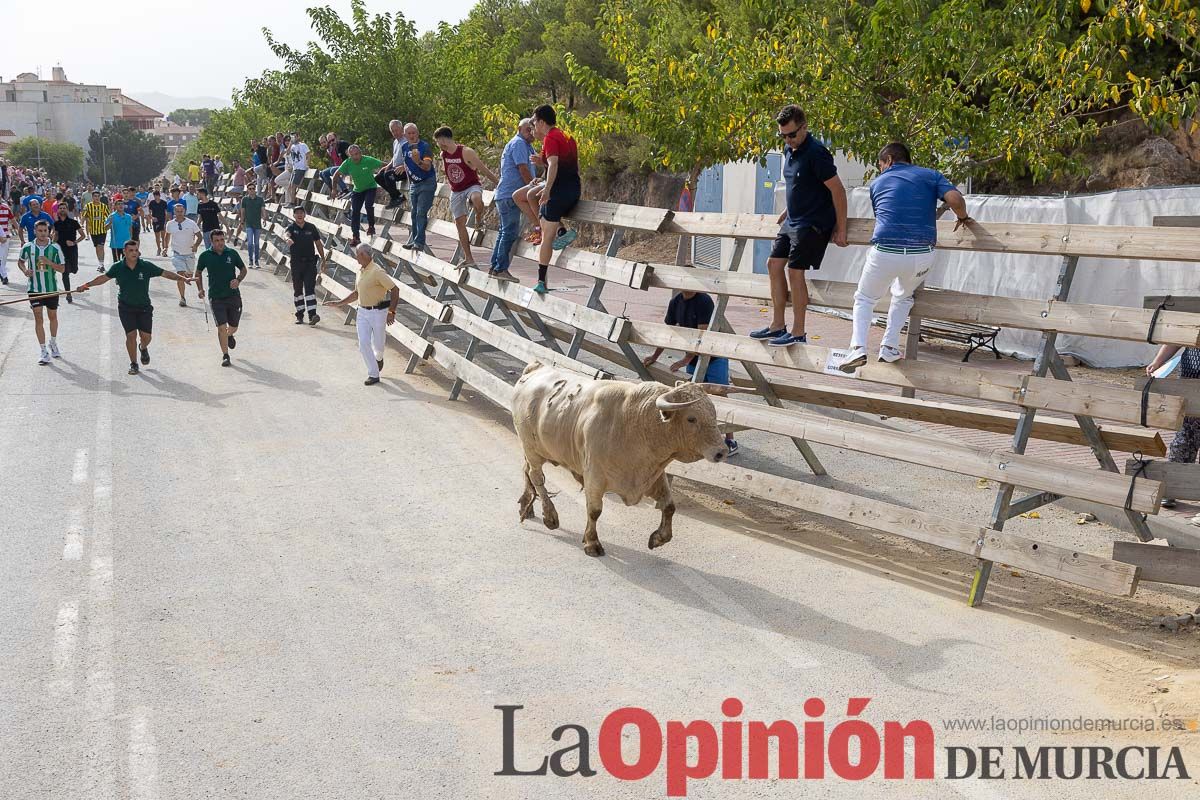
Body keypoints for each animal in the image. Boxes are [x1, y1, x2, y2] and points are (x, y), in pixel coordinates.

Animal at [511, 362, 724, 556]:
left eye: (714, 414)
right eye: (691, 418)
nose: (721, 451)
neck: (637, 422)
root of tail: (536, 368)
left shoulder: (655, 476)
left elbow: (670, 506)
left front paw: (659, 538)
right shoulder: (594, 477)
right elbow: (594, 511)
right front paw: (592, 542)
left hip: (532, 450)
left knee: (526, 471)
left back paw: (526, 507)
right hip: (532, 449)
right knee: (536, 477)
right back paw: (550, 516)